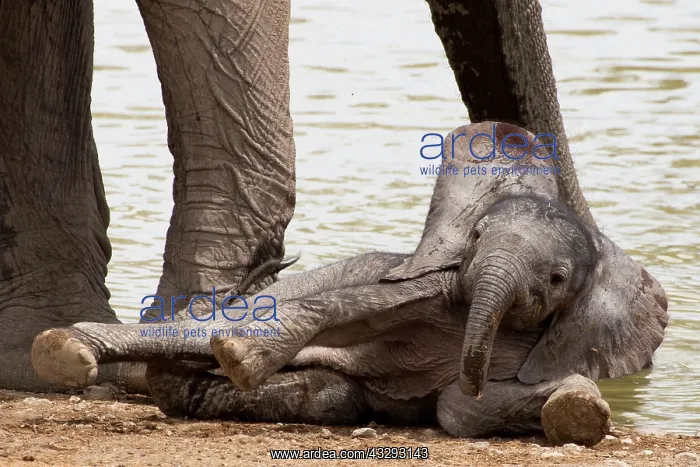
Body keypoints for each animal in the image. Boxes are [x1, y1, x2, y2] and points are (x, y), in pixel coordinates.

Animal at [31, 122, 669, 446]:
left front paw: (577, 410)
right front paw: (239, 354)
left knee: (327, 393)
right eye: (476, 236)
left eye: (557, 279)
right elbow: (351, 306)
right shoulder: (429, 285)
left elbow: (460, 408)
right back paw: (67, 352)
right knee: (196, 335)